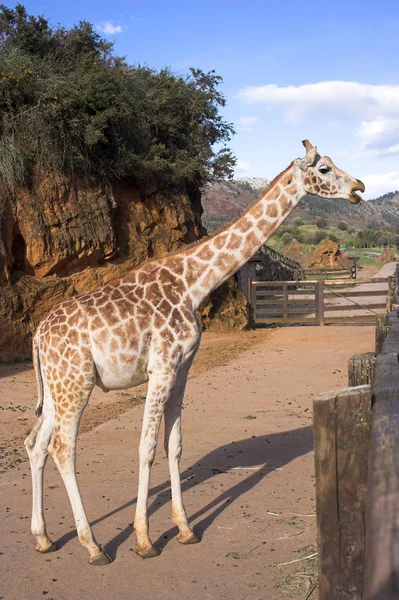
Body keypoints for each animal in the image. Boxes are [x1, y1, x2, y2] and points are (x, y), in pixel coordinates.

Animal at [23, 141, 364, 564]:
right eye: (324, 168)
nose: (359, 187)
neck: (192, 285)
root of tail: (38, 335)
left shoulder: (182, 369)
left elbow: (175, 446)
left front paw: (185, 529)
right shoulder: (162, 368)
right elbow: (147, 448)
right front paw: (144, 540)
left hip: (59, 386)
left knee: (36, 444)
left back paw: (43, 538)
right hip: (76, 383)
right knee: (62, 448)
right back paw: (93, 546)